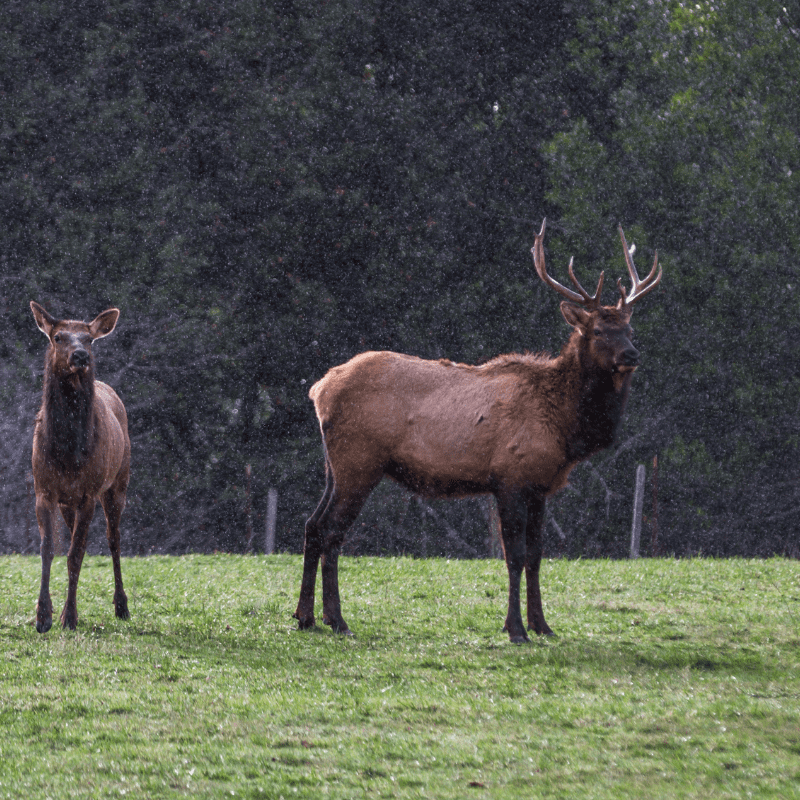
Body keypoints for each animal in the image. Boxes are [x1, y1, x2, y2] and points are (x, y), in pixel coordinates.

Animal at [29, 300, 130, 632]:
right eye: (58, 337)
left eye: (89, 339)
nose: (80, 355)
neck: (67, 453)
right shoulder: (44, 490)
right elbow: (49, 549)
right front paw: (43, 616)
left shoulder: (88, 493)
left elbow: (75, 554)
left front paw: (69, 617)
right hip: (68, 502)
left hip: (117, 483)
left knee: (113, 540)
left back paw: (122, 605)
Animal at [294, 220, 664, 644]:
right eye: (600, 330)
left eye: (630, 328)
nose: (631, 355)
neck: (565, 427)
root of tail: (319, 389)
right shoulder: (509, 477)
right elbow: (514, 555)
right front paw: (515, 628)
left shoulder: (541, 485)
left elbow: (537, 556)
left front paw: (543, 625)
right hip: (360, 462)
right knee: (332, 531)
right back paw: (336, 620)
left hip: (334, 468)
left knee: (313, 524)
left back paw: (307, 616)